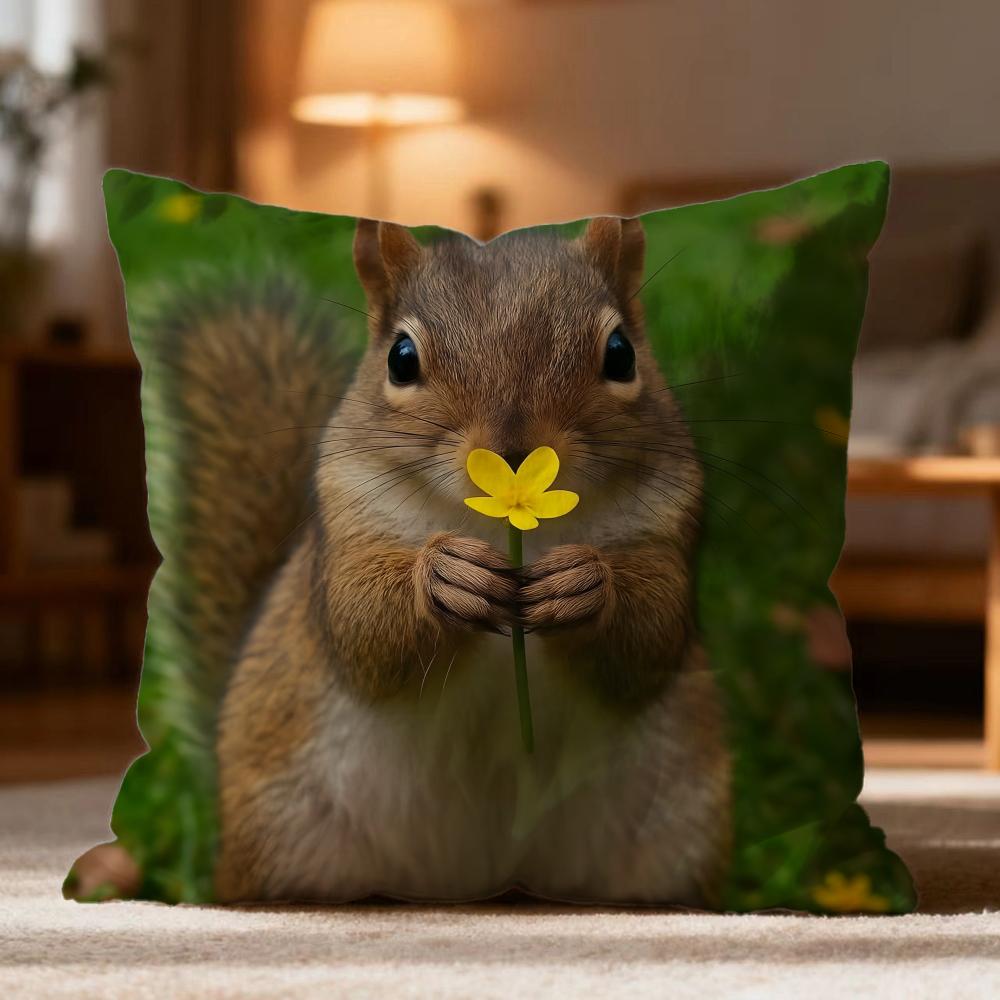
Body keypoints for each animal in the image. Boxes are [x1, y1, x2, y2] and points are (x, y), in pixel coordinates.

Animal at [209, 216, 731, 906]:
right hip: (284, 839)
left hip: (672, 846)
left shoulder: (668, 519)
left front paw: (585, 582)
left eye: (621, 354)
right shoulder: (347, 519)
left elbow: (653, 633)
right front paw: (442, 577)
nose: (515, 453)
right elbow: (359, 625)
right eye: (401, 359)